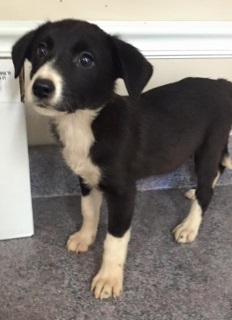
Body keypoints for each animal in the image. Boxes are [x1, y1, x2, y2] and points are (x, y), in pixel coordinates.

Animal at [12, 19, 232, 300]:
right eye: (41, 49)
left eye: (86, 60)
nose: (40, 87)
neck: (84, 122)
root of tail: (221, 83)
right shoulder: (86, 178)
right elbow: (88, 211)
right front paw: (85, 238)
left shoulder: (124, 192)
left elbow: (114, 239)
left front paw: (108, 278)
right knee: (217, 171)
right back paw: (193, 194)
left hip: (208, 146)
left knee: (208, 188)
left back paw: (189, 226)